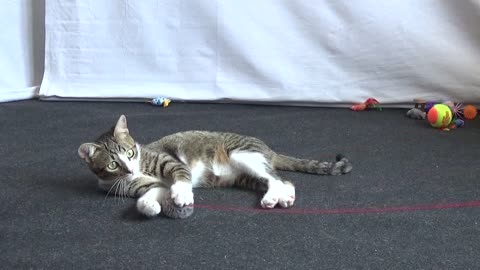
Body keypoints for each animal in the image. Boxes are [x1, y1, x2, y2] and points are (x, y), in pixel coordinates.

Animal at [77, 115, 350, 217]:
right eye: (113, 164)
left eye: (130, 153)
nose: (131, 169)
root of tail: (268, 148)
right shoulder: (149, 186)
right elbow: (150, 195)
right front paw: (150, 206)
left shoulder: (169, 161)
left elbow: (180, 175)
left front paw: (182, 194)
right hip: (242, 176)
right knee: (282, 181)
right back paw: (282, 197)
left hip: (243, 154)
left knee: (276, 178)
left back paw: (274, 197)